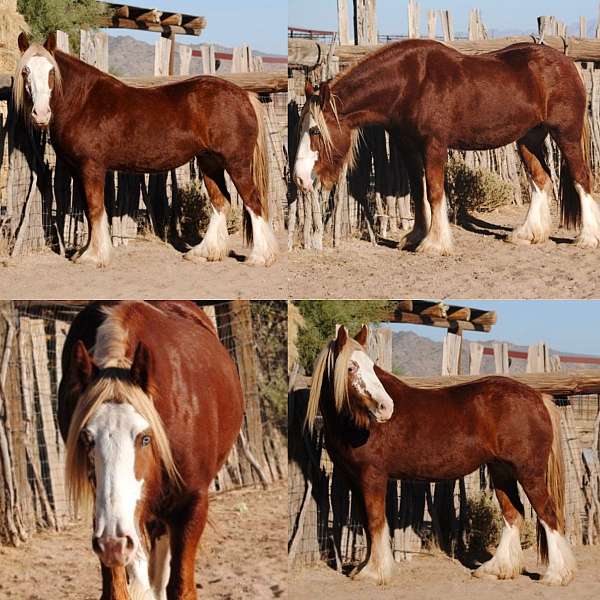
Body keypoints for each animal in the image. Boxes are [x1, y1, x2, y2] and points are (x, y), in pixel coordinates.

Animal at [13, 32, 276, 268]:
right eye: (25, 71)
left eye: (51, 71)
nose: (41, 114)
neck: (83, 102)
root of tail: (244, 94)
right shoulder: (78, 171)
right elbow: (88, 211)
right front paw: (85, 252)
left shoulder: (92, 167)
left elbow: (96, 209)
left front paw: (95, 257)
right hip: (209, 162)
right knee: (221, 202)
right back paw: (203, 253)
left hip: (236, 163)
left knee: (253, 202)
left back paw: (260, 258)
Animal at [56, 302, 244, 596]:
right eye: (87, 439)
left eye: (144, 438)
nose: (114, 544)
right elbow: (117, 589)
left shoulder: (192, 504)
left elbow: (181, 588)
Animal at [292, 37, 600, 253]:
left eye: (315, 130)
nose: (300, 179)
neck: (410, 83)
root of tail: (566, 62)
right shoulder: (408, 147)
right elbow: (419, 193)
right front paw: (415, 237)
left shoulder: (434, 146)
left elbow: (435, 191)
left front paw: (435, 244)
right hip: (529, 138)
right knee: (541, 180)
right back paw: (527, 234)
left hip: (566, 135)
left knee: (582, 178)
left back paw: (587, 238)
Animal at [310, 328, 576, 584]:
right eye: (351, 367)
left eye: (372, 367)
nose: (386, 407)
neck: (354, 423)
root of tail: (537, 397)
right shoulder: (353, 478)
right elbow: (366, 523)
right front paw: (363, 568)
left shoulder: (373, 475)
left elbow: (376, 521)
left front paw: (375, 573)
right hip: (502, 471)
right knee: (513, 514)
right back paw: (495, 570)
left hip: (529, 473)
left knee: (548, 514)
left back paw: (556, 575)